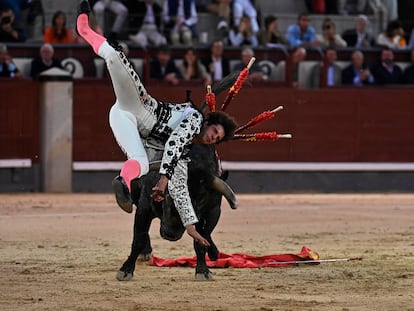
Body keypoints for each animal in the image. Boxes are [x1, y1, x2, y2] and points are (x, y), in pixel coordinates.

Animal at [116, 145, 238, 282]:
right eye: (169, 195)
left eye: (198, 203)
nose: (170, 234)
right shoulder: (144, 208)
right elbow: (139, 239)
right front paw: (126, 270)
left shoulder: (213, 211)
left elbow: (201, 239)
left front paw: (203, 271)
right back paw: (145, 252)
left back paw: (214, 253)